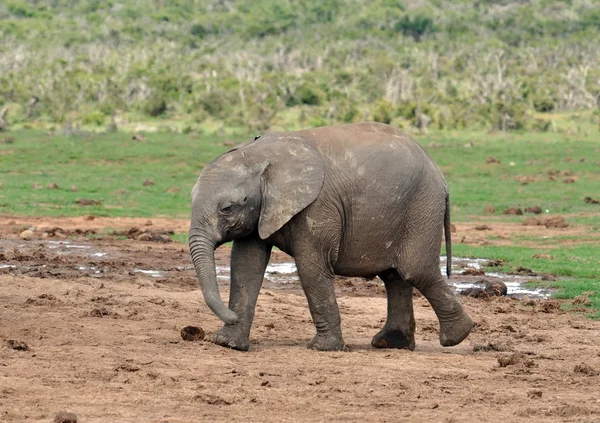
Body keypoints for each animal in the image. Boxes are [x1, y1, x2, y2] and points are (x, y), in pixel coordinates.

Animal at [189, 121, 474, 352]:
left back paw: (456, 337)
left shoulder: (317, 207)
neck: (260, 155)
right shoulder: (261, 211)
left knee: (416, 270)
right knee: (395, 276)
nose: (230, 316)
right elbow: (245, 265)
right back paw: (390, 344)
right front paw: (228, 344)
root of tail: (439, 174)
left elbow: (311, 266)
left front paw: (322, 348)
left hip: (421, 207)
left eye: (227, 208)